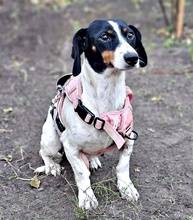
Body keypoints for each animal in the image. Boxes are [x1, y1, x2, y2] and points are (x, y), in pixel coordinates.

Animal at [35, 18, 147, 210]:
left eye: (130, 35)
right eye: (104, 37)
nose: (133, 58)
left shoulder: (128, 139)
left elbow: (122, 167)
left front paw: (126, 188)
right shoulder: (70, 147)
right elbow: (81, 173)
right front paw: (87, 197)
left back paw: (92, 159)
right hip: (52, 141)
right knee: (44, 152)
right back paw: (52, 166)